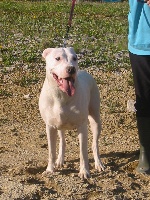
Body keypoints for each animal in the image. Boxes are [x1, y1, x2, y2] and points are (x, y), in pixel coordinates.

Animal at [39, 47, 104, 179]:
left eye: (75, 58)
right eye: (57, 58)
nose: (71, 69)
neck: (60, 95)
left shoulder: (82, 126)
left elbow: (83, 152)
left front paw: (84, 171)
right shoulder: (50, 127)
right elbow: (51, 151)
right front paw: (50, 169)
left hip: (95, 119)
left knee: (94, 144)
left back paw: (98, 163)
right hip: (60, 126)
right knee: (62, 141)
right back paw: (60, 160)